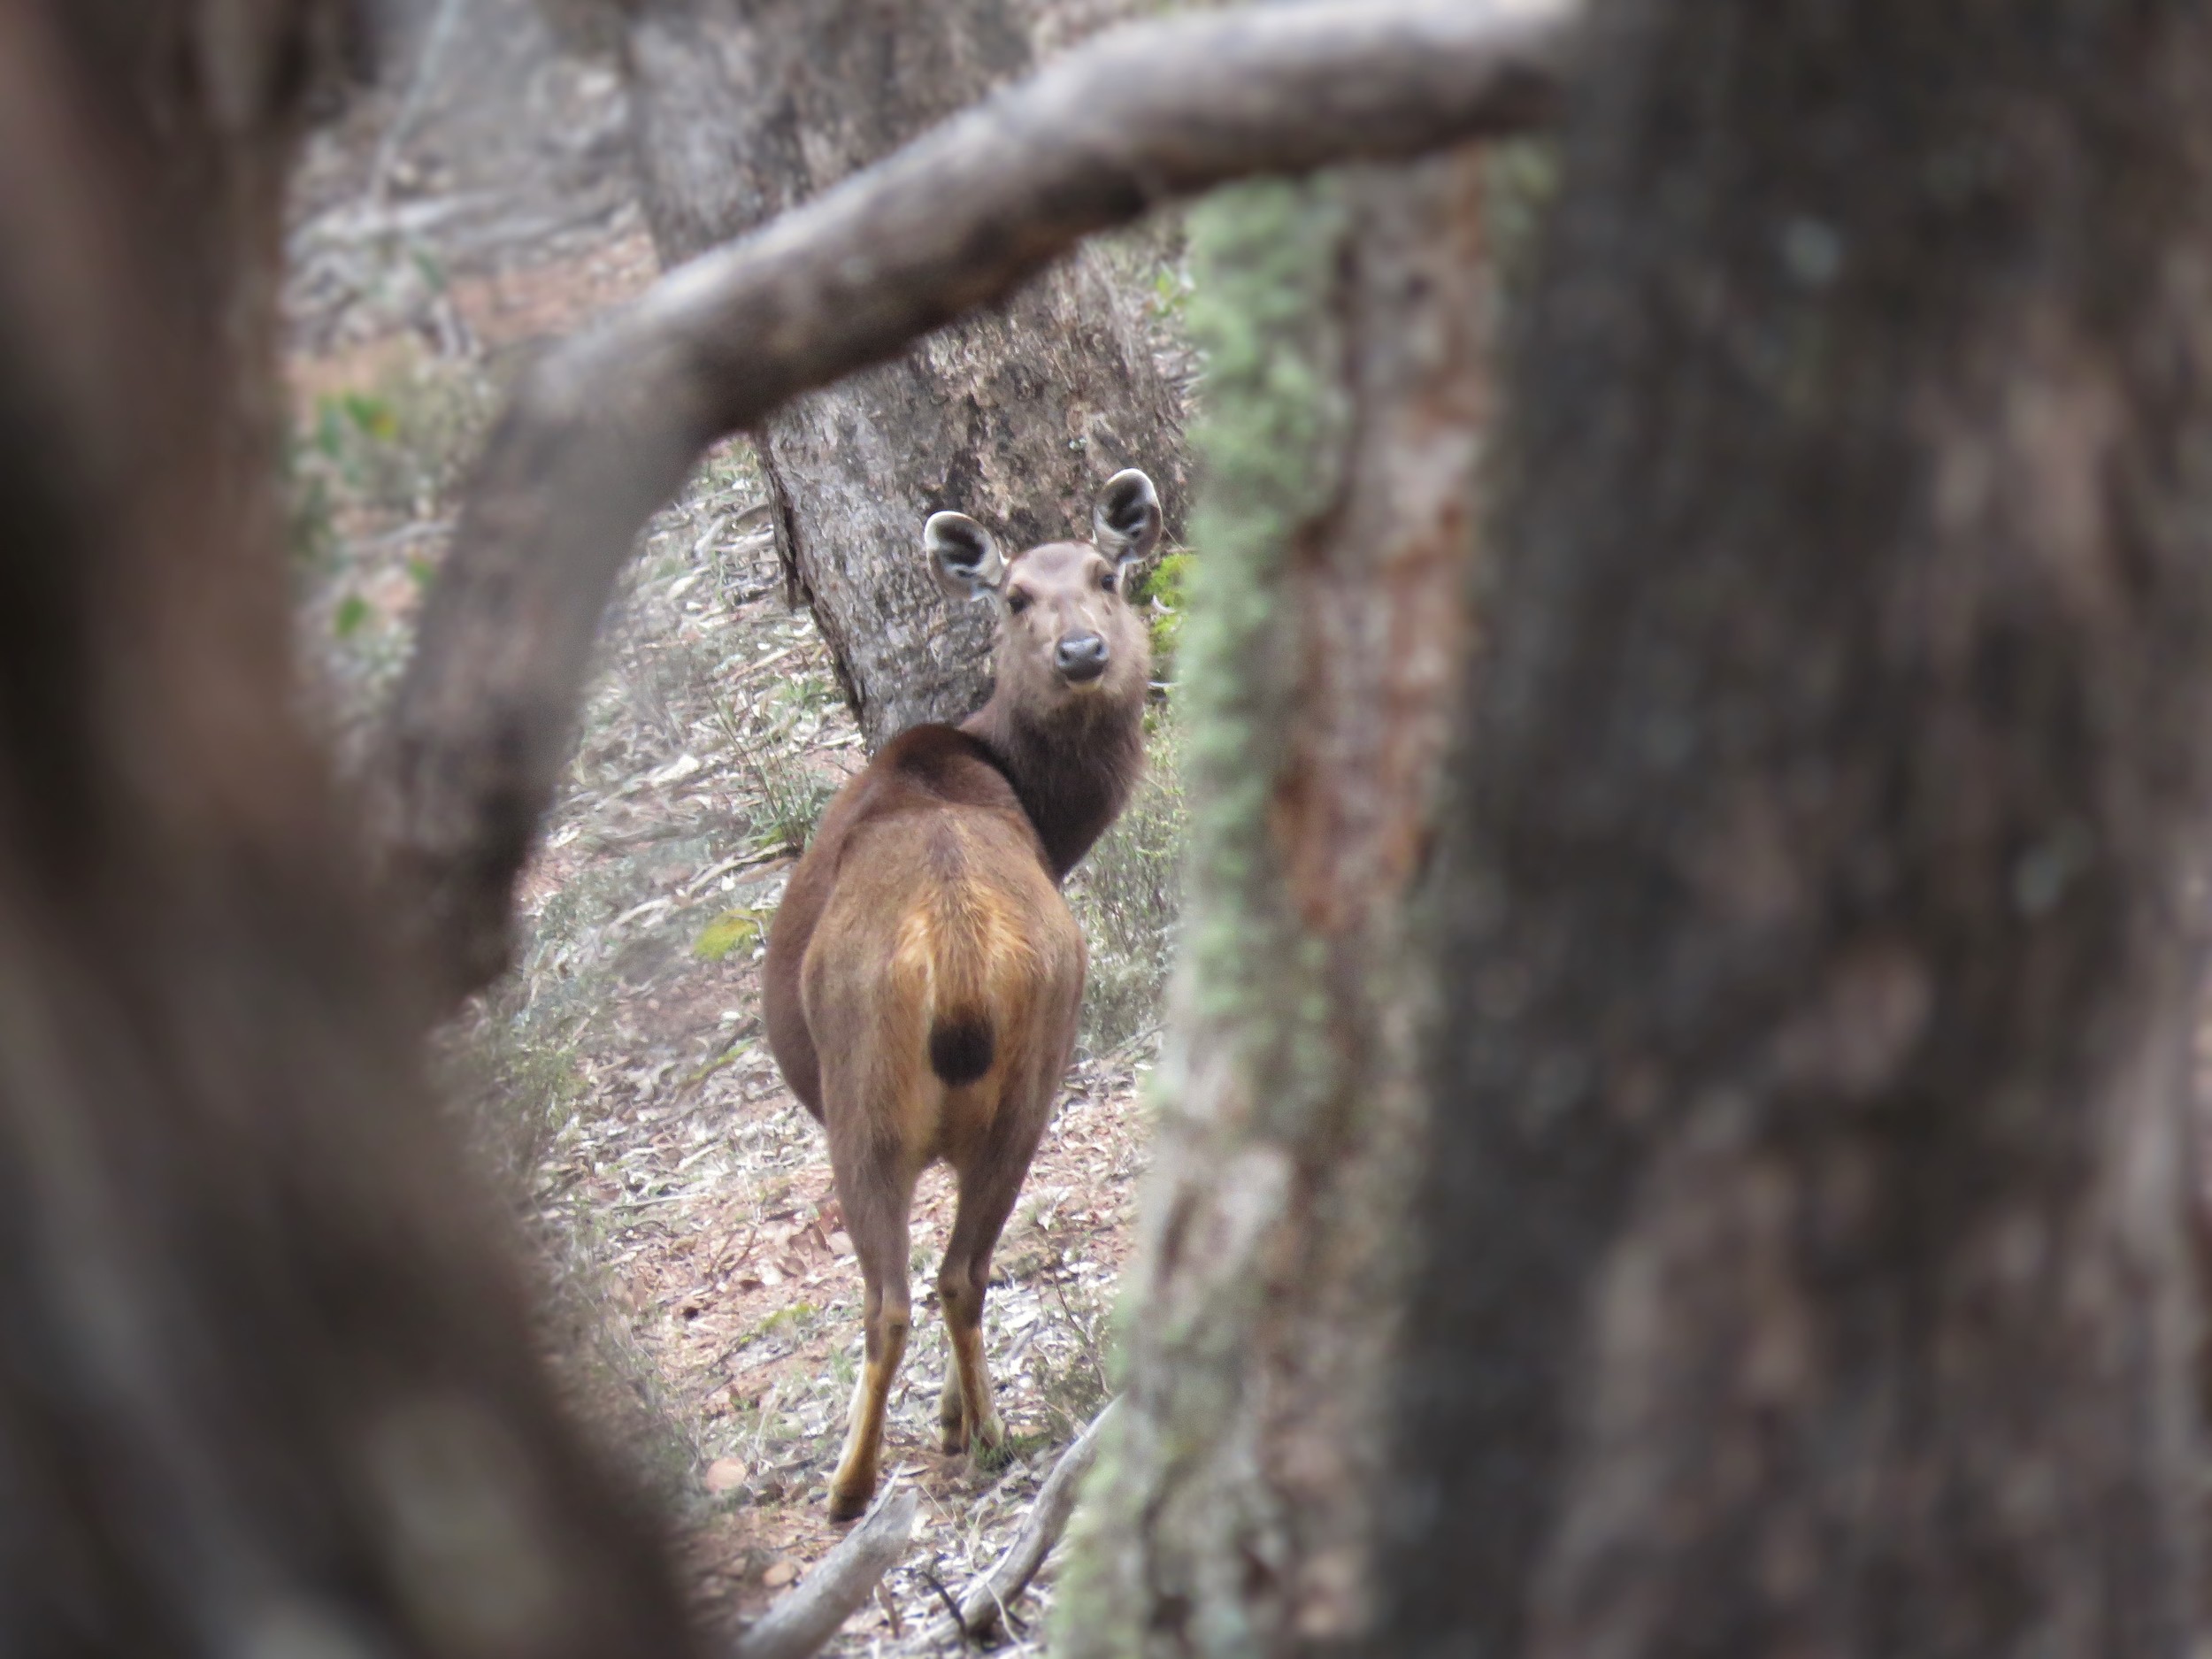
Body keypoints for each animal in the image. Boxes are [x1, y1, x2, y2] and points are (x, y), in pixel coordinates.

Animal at [765, 469, 1159, 1522]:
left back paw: (864, 1479)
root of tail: (957, 953)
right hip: (1033, 1078)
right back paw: (978, 1428)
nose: (1081, 651)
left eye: (1107, 574)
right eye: (1015, 596)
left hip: (864, 1100)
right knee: (966, 1268)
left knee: (904, 1292)